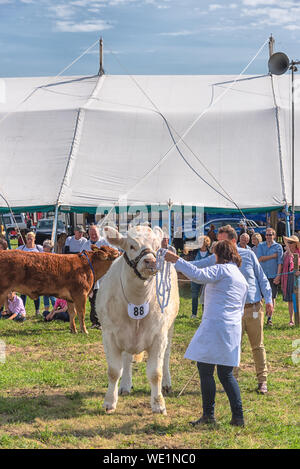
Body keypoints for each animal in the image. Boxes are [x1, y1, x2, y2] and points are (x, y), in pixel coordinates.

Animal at [96, 225, 179, 412]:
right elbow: (114, 371)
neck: (137, 301)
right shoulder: (109, 335)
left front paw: (158, 404)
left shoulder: (159, 336)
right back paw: (125, 385)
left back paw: (167, 384)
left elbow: (155, 373)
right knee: (127, 359)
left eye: (156, 247)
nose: (150, 261)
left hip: (170, 328)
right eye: (132, 246)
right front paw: (110, 402)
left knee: (167, 357)